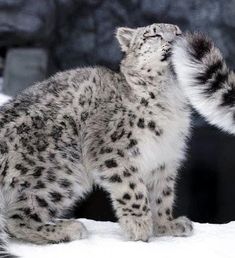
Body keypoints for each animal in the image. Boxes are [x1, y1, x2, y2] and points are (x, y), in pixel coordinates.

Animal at [0, 23, 193, 256]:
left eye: (178, 32)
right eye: (153, 35)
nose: (175, 40)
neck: (169, 98)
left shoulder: (164, 160)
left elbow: (162, 196)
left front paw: (168, 225)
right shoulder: (113, 150)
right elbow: (133, 189)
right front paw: (139, 226)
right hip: (60, 171)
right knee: (17, 218)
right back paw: (69, 228)